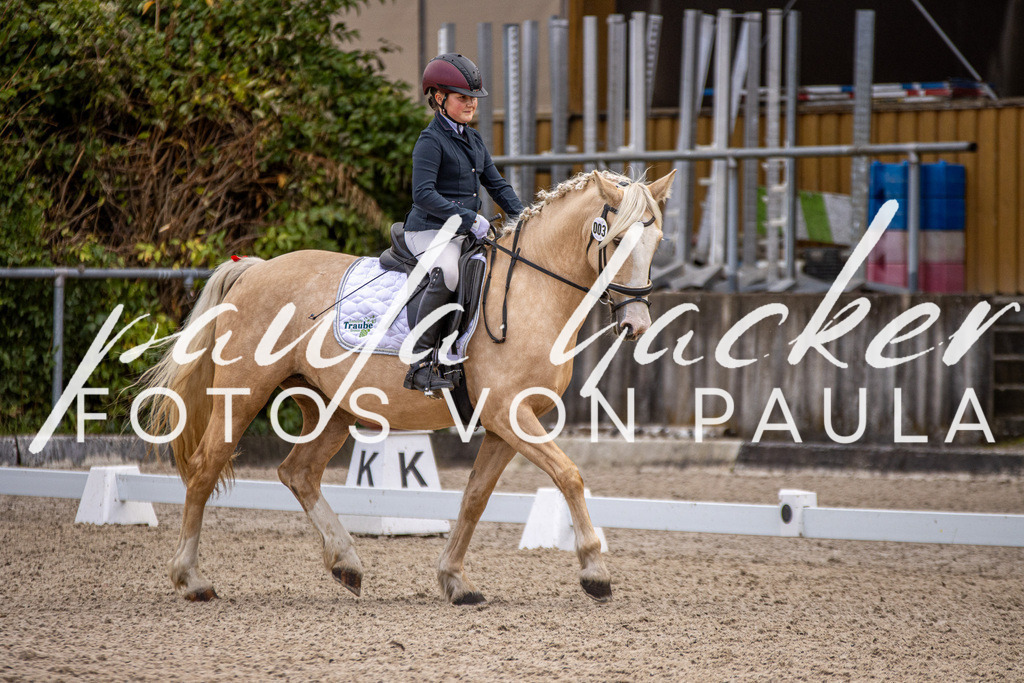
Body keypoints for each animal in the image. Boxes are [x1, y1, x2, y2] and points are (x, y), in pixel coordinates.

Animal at [142, 168, 675, 604]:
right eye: (618, 241)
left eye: (657, 242)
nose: (635, 324)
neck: (531, 289)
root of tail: (253, 269)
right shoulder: (509, 413)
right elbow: (569, 476)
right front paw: (595, 573)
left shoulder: (506, 424)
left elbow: (475, 497)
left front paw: (455, 581)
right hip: (244, 393)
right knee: (206, 467)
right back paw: (192, 580)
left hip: (331, 407)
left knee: (298, 473)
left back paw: (347, 565)